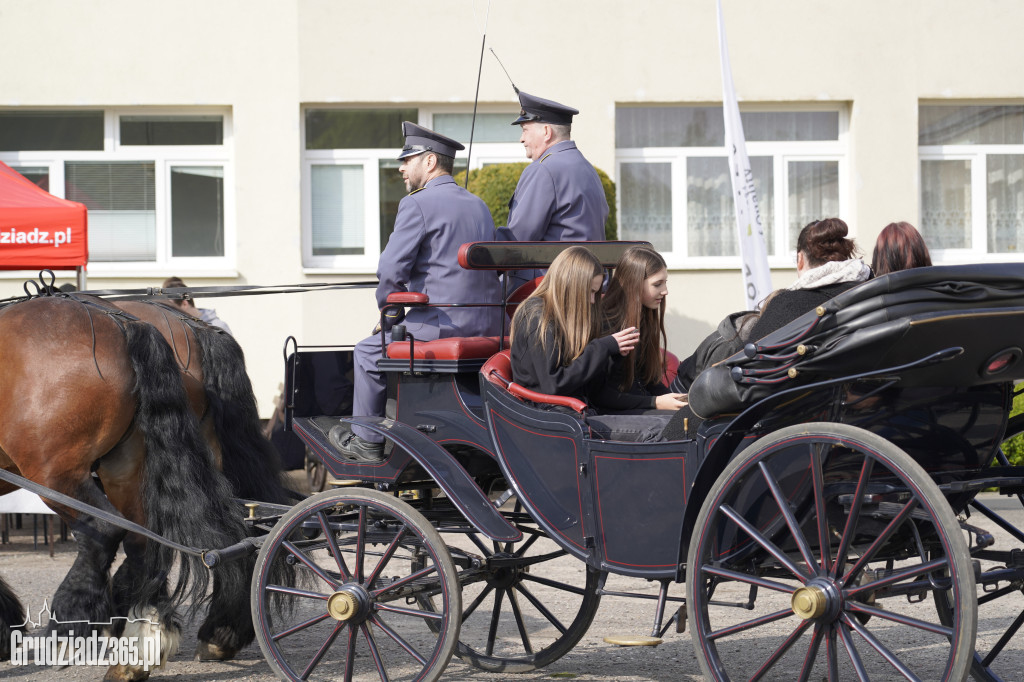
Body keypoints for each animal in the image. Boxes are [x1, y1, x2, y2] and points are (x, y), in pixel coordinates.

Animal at [0, 296, 251, 679]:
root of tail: (124, 324)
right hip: (128, 468)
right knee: (148, 541)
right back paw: (144, 642)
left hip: (58, 475)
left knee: (104, 533)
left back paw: (68, 628)